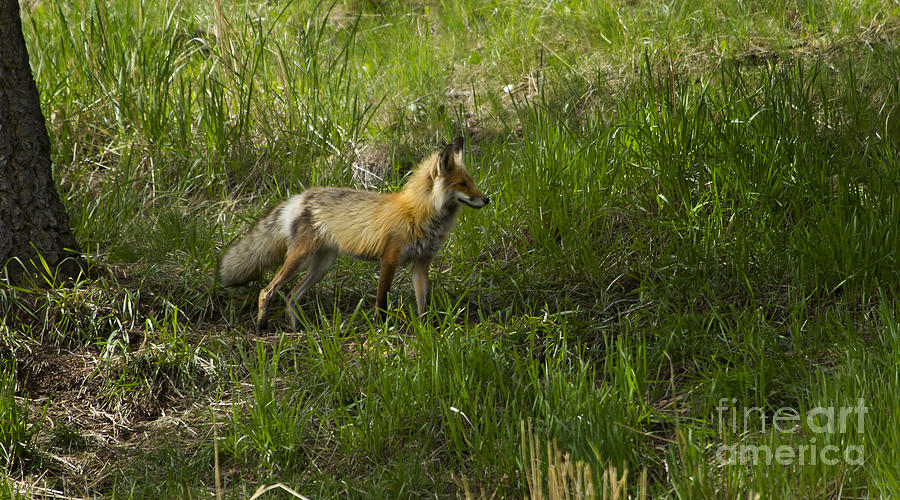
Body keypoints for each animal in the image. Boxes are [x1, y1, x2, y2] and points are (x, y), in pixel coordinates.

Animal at [218, 138, 488, 332]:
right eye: (462, 184)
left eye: (471, 182)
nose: (487, 200)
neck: (419, 213)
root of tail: (301, 196)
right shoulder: (389, 259)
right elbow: (381, 301)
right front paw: (381, 330)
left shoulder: (421, 264)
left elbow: (424, 304)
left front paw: (427, 332)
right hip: (300, 259)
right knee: (268, 291)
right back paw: (260, 328)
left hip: (321, 266)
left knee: (292, 297)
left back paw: (297, 330)